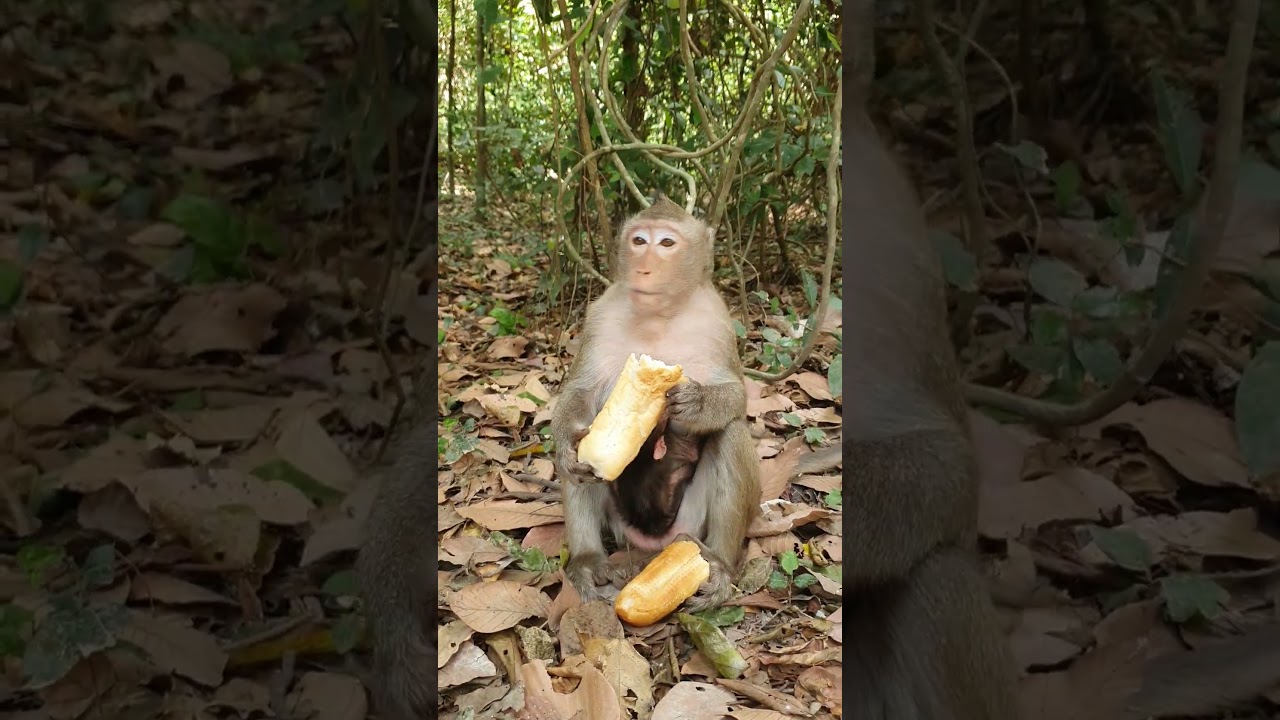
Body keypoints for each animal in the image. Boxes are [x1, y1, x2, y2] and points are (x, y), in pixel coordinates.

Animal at [550, 194, 759, 610]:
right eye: (638, 240)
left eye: (666, 243)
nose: (643, 268)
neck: (659, 317)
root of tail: (652, 542)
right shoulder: (599, 315)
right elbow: (580, 393)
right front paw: (565, 444)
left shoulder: (718, 322)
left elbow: (737, 396)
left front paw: (697, 404)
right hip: (619, 523)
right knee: (585, 450)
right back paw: (587, 560)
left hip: (691, 521)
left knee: (730, 433)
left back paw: (720, 566)